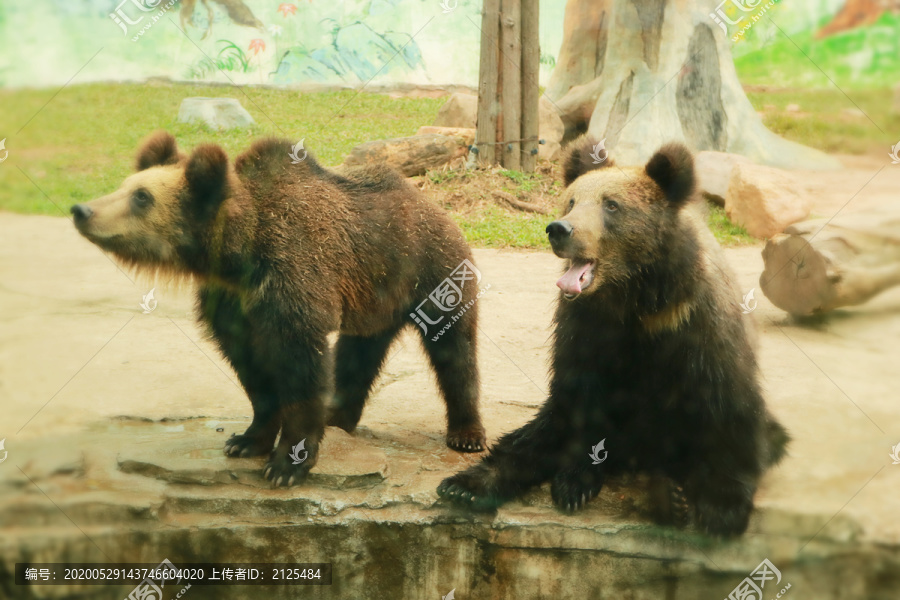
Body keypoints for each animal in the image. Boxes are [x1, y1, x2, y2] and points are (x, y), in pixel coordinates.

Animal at [71, 131, 486, 486]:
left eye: (142, 197)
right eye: (125, 186)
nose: (81, 209)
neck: (240, 256)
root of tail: (435, 206)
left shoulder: (293, 282)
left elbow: (301, 369)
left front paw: (288, 463)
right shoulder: (233, 304)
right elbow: (253, 372)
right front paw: (245, 440)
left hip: (433, 273)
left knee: (455, 351)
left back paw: (466, 432)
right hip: (375, 298)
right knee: (358, 353)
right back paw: (338, 415)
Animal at [437, 138, 788, 536]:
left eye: (611, 204)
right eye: (572, 201)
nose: (559, 229)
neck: (636, 295)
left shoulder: (697, 324)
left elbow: (727, 404)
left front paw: (722, 508)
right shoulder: (587, 324)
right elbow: (577, 395)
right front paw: (574, 479)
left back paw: (670, 495)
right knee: (535, 433)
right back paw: (468, 485)